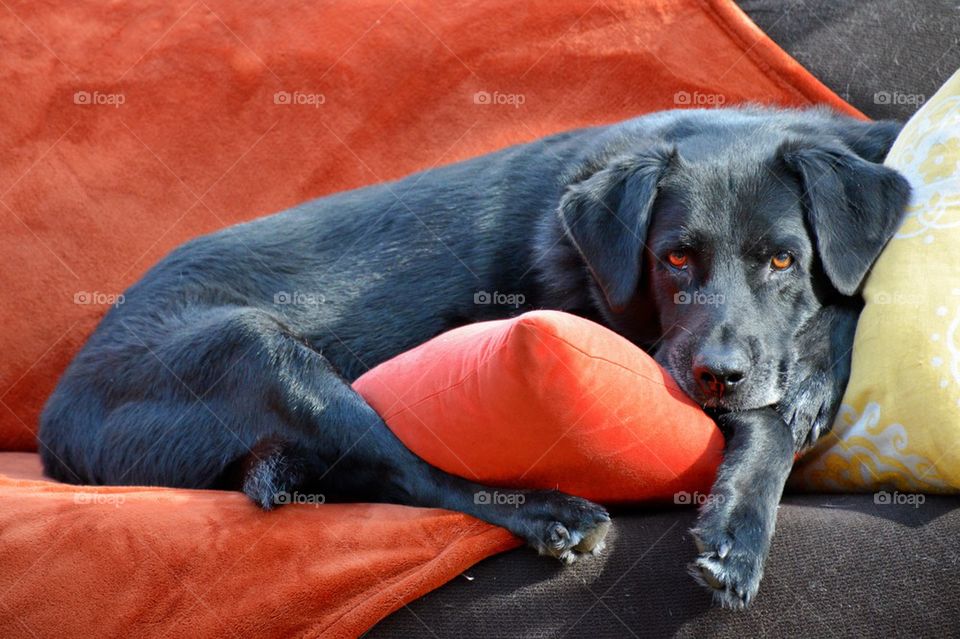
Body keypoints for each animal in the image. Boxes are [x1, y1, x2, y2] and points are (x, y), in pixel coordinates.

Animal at [37, 106, 908, 608]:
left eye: (784, 259)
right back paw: (551, 512)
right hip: (254, 349)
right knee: (412, 475)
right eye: (674, 259)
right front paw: (741, 523)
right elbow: (767, 416)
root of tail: (53, 424)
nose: (716, 377)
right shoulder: (640, 343)